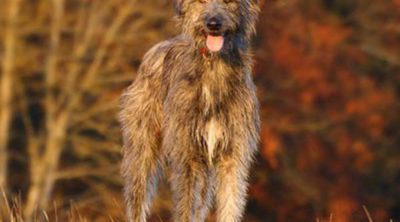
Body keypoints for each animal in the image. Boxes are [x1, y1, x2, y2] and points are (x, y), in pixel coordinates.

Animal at [119, 0, 260, 221]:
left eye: (229, 2)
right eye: (201, 2)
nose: (213, 24)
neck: (213, 66)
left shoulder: (232, 156)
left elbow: (231, 204)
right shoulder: (188, 156)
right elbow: (186, 206)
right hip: (141, 150)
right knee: (137, 197)